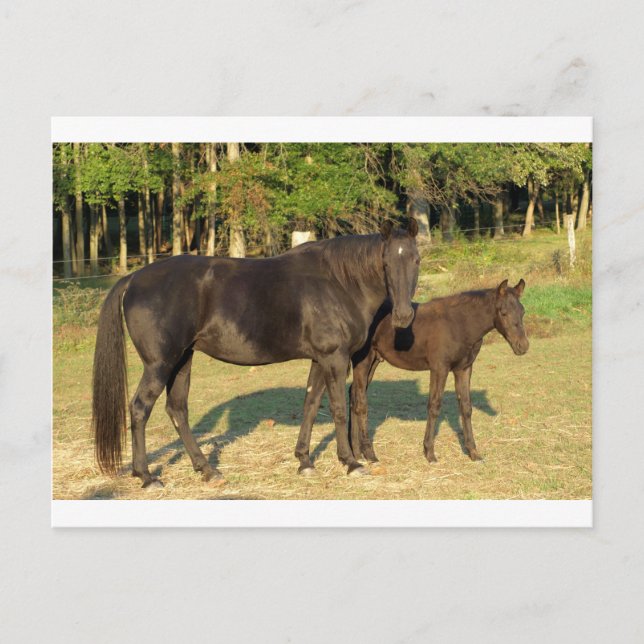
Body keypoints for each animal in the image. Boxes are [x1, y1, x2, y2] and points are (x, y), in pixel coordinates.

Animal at [91, 219, 420, 487]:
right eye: (386, 263)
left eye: (415, 259)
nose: (403, 316)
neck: (339, 282)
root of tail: (134, 279)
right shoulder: (335, 359)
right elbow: (338, 408)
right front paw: (350, 462)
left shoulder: (319, 359)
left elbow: (311, 405)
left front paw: (304, 461)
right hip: (160, 364)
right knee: (139, 409)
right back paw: (146, 476)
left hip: (182, 360)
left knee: (177, 410)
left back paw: (207, 470)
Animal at [293, 279, 528, 473]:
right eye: (503, 312)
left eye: (522, 311)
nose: (523, 346)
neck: (459, 324)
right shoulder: (439, 368)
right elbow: (434, 406)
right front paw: (430, 453)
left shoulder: (464, 368)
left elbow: (466, 408)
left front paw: (473, 453)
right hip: (363, 360)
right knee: (360, 401)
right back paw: (368, 454)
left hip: (374, 360)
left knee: (353, 395)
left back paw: (357, 451)